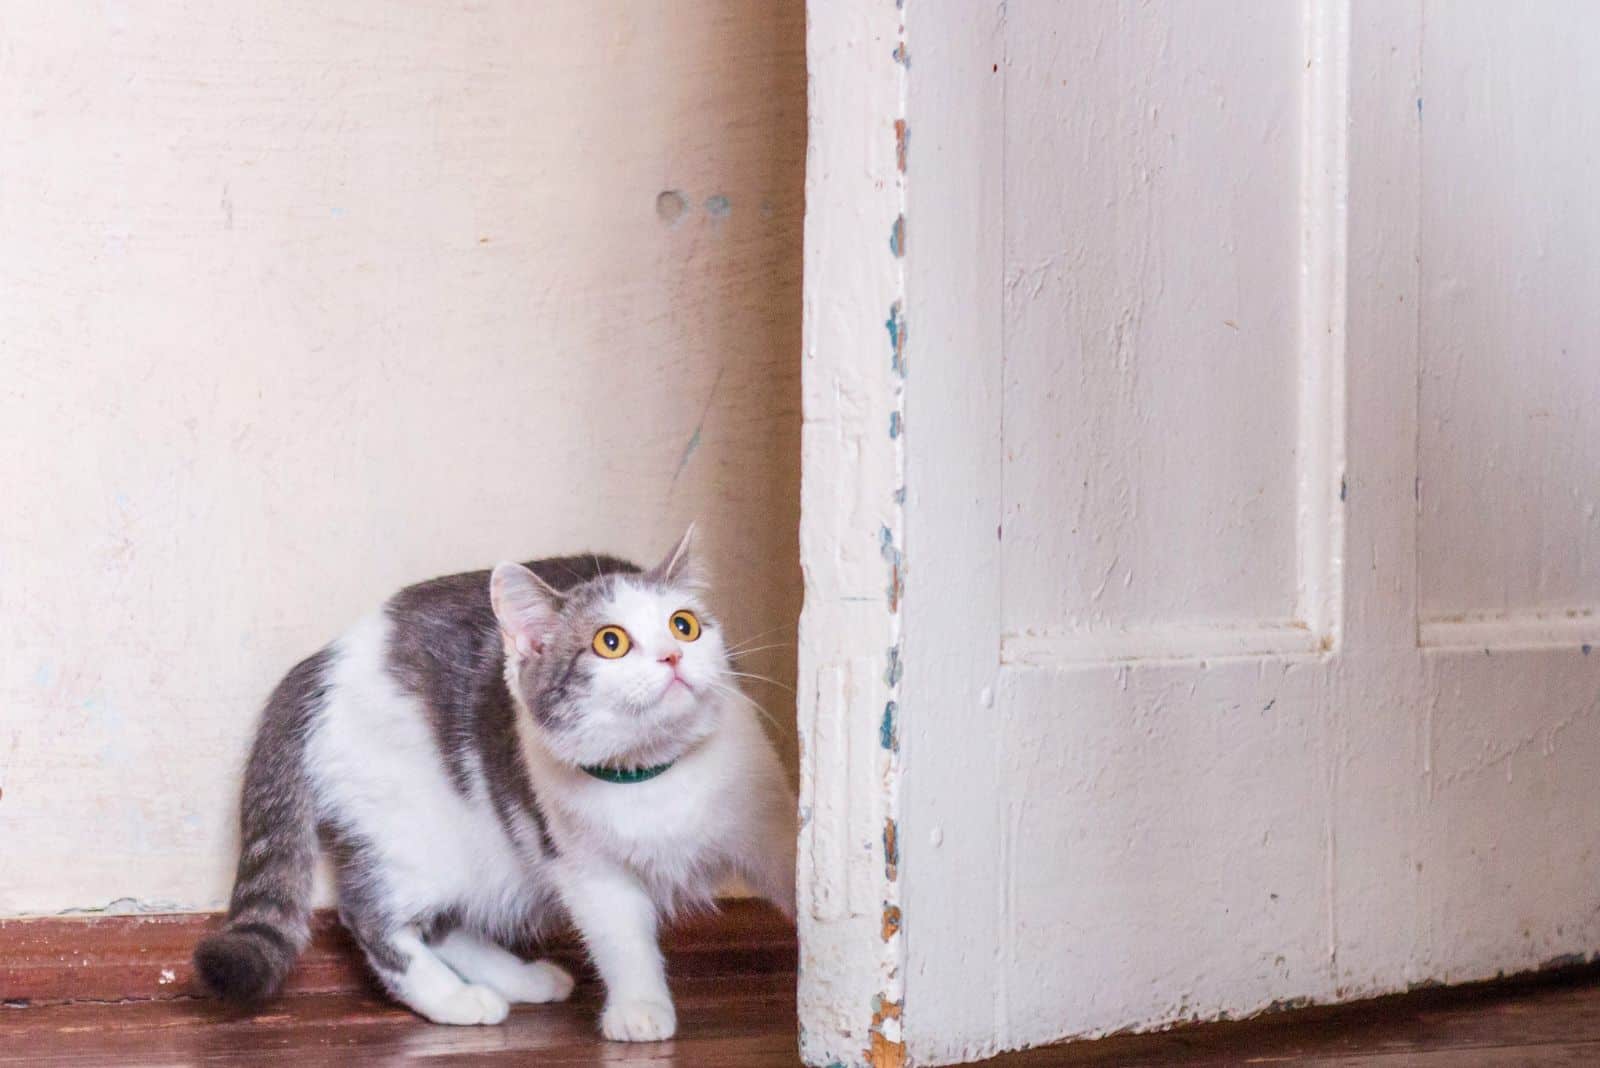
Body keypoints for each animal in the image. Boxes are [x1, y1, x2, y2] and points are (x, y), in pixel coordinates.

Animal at [192, 530, 793, 1036]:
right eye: (611, 642)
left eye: (684, 625)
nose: (672, 656)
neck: (653, 776)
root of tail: (319, 663)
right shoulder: (586, 867)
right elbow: (621, 938)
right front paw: (639, 1008)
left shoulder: (770, 824)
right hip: (414, 833)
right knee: (368, 915)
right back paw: (455, 999)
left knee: (443, 923)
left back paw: (522, 979)